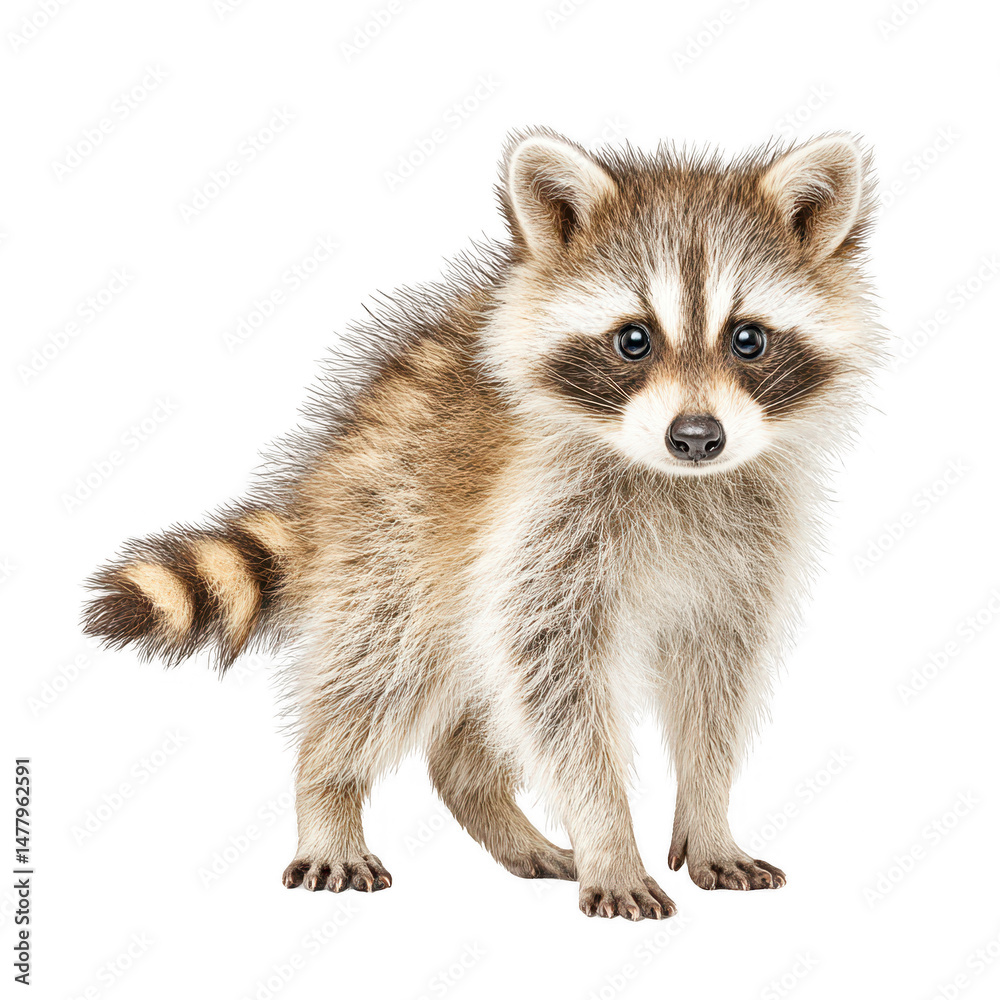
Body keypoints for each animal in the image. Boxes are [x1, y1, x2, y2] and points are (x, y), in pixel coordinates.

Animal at [83, 128, 880, 920]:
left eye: (748, 339)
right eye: (634, 340)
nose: (696, 438)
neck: (675, 479)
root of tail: (333, 468)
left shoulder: (748, 543)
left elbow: (716, 685)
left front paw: (710, 812)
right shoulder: (541, 519)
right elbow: (556, 684)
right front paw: (608, 836)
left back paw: (489, 806)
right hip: (395, 536)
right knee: (377, 669)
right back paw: (327, 788)